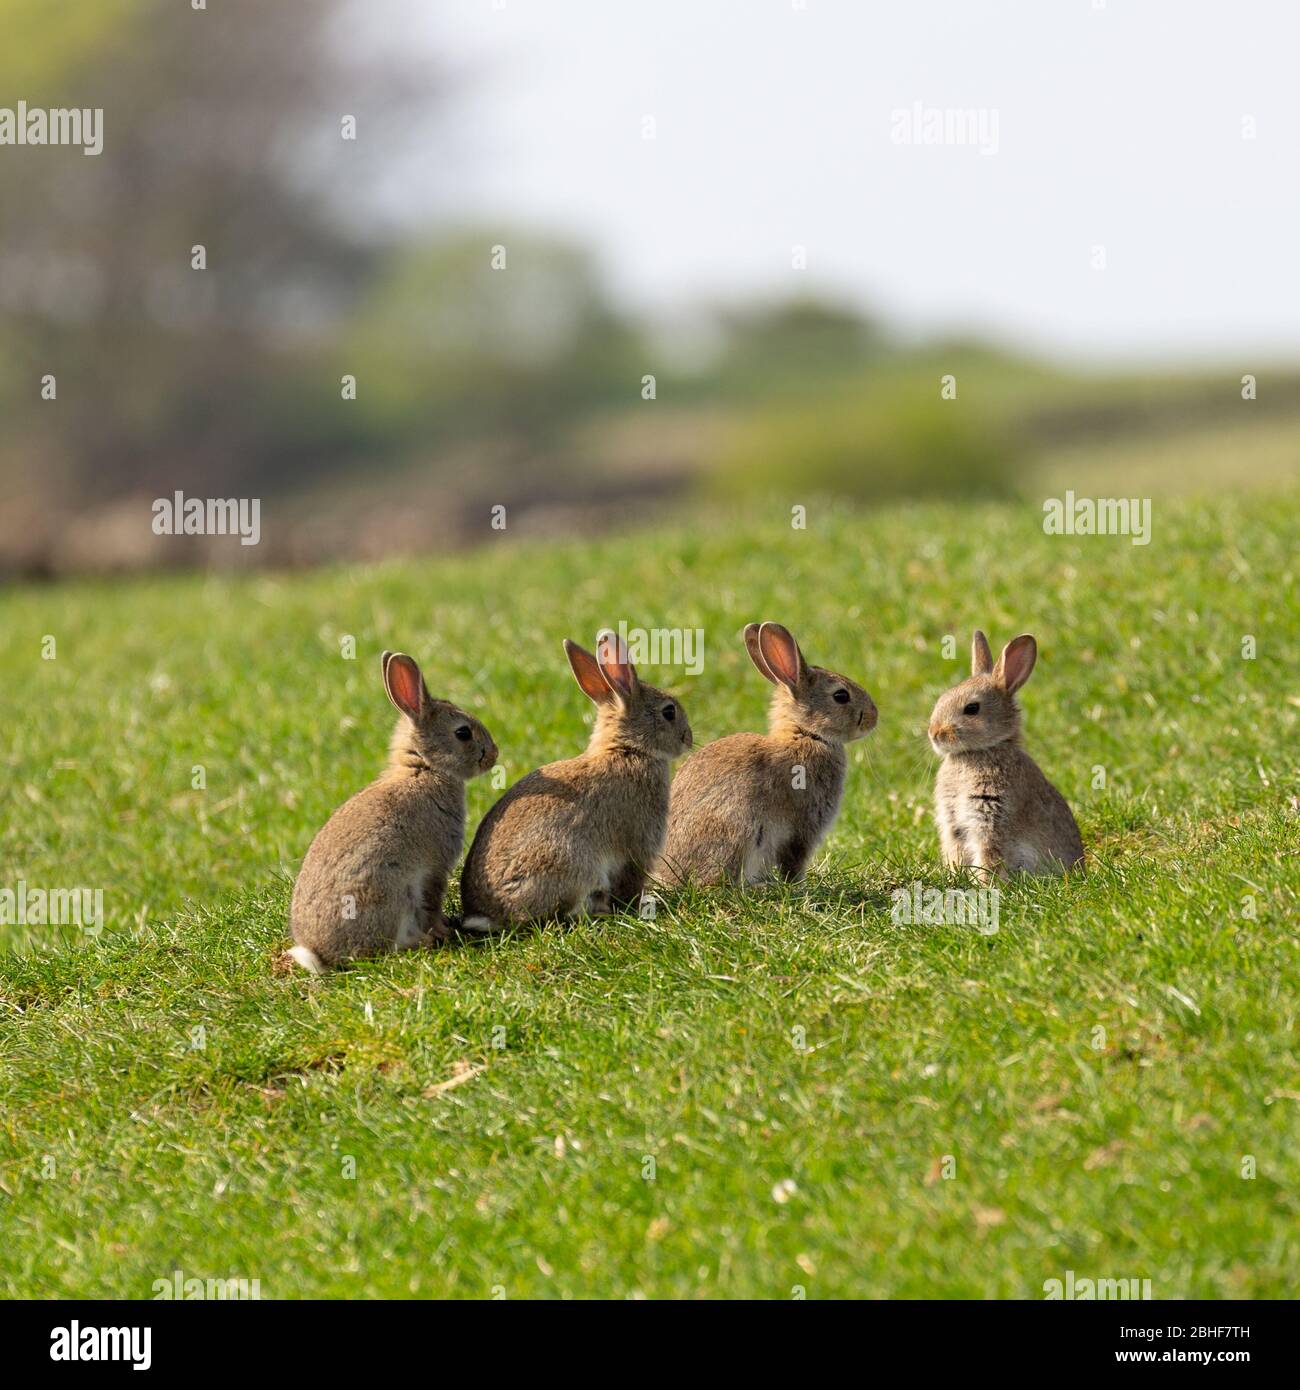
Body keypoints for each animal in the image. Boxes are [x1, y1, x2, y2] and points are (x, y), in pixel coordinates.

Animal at [284, 650, 497, 973]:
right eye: (463, 733)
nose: (493, 755)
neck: (425, 768)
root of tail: (320, 955)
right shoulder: (435, 867)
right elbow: (432, 903)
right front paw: (443, 930)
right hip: (390, 895)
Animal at [459, 631, 692, 929]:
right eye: (669, 712)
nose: (688, 737)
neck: (628, 749)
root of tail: (487, 915)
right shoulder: (638, 845)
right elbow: (631, 880)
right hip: (571, 864)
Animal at [656, 622, 877, 886]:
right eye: (841, 696)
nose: (874, 717)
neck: (806, 734)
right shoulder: (803, 827)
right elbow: (794, 860)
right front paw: (797, 886)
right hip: (737, 828)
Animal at [928, 630, 1084, 879]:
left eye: (972, 708)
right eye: (941, 699)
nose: (934, 733)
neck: (979, 752)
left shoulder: (991, 821)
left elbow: (989, 856)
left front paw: (983, 883)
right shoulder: (953, 825)